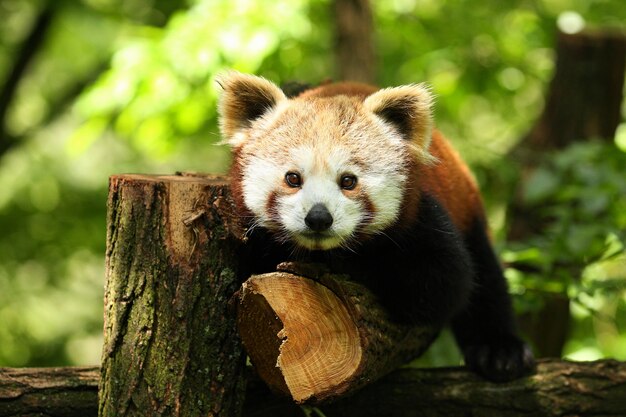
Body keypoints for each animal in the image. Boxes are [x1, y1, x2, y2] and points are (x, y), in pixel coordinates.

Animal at [217, 70, 532, 380]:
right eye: (293, 178)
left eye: (348, 181)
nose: (319, 217)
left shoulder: (424, 221)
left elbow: (444, 285)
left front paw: (348, 266)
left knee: (485, 276)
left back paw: (499, 350)